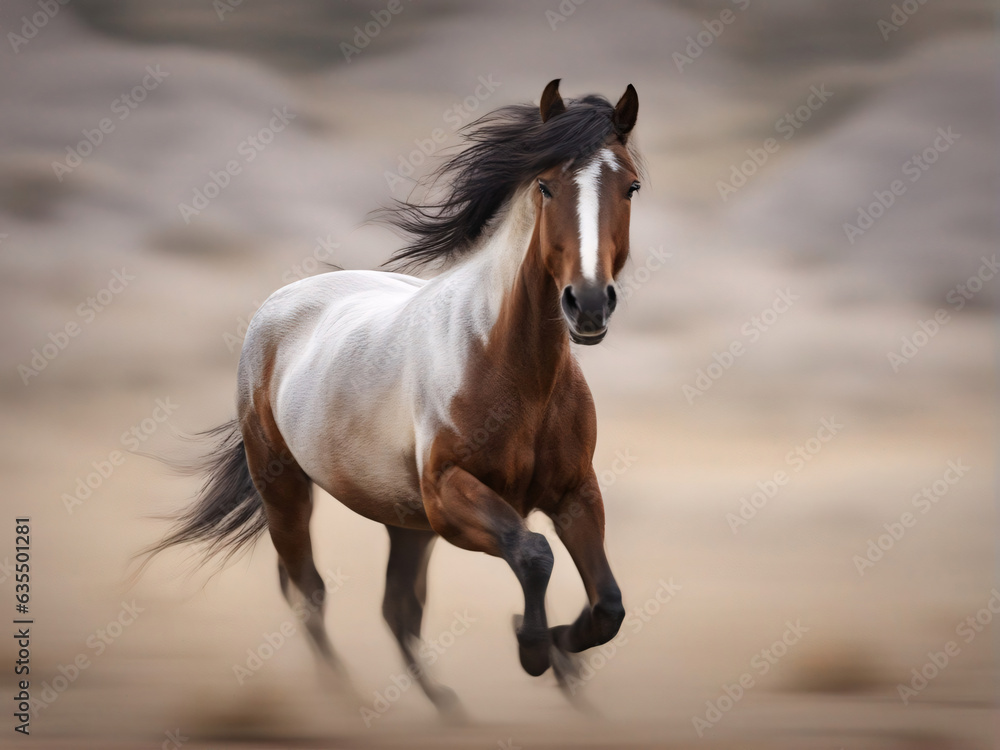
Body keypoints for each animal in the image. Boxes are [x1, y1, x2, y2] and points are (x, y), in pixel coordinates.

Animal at [141, 78, 643, 715]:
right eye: (546, 184)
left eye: (630, 186)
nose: (589, 303)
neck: (512, 369)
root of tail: (281, 302)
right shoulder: (449, 496)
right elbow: (534, 554)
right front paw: (534, 648)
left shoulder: (576, 492)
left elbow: (608, 604)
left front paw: (561, 658)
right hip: (286, 489)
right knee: (308, 589)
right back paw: (345, 695)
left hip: (405, 523)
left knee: (396, 608)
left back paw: (448, 708)